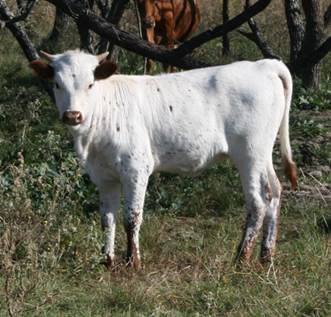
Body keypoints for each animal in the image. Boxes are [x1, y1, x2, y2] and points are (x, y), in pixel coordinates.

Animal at [29, 50, 296, 268]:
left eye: (91, 84)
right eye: (57, 84)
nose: (72, 115)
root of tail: (263, 65)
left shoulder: (136, 168)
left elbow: (131, 217)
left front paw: (133, 262)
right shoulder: (103, 176)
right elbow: (107, 218)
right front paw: (107, 260)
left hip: (249, 154)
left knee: (258, 203)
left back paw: (241, 259)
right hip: (263, 154)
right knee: (274, 192)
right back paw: (266, 256)